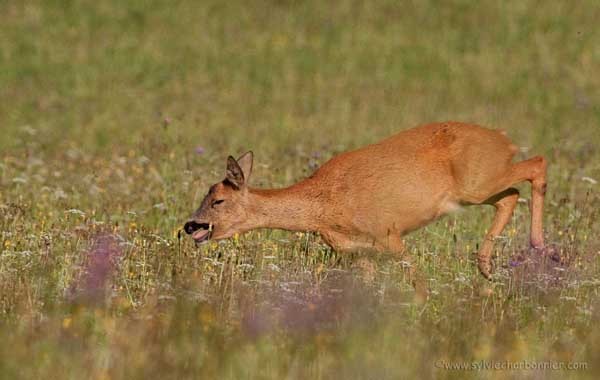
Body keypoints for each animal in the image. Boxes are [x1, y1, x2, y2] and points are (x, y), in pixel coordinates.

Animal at [184, 122, 548, 280]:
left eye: (217, 200)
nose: (190, 226)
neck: (323, 207)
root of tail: (504, 140)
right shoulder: (359, 253)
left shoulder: (389, 234)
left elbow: (416, 277)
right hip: (478, 187)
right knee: (511, 196)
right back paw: (486, 268)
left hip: (477, 182)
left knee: (537, 164)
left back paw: (539, 245)